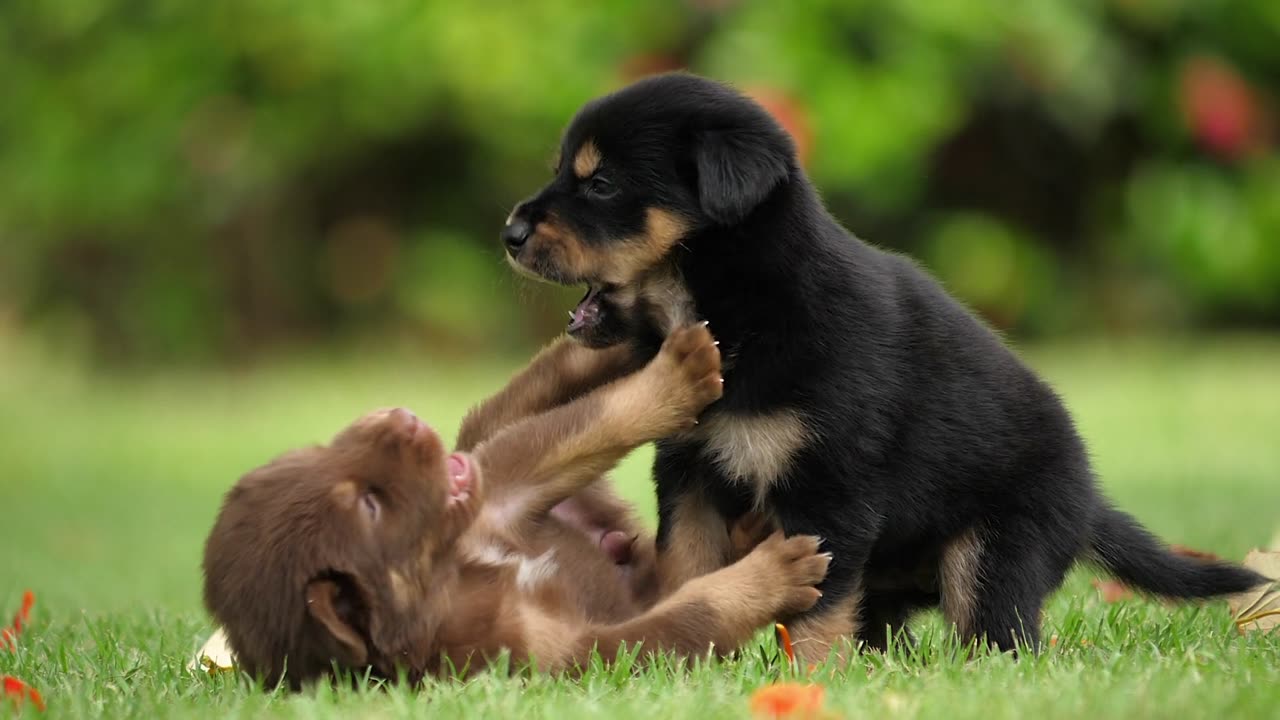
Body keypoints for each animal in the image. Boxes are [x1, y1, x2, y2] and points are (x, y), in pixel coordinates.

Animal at [202, 325, 829, 681]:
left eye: (323, 450)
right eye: (369, 507)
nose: (401, 418)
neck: (457, 572)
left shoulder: (499, 498)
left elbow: (590, 421)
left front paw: (668, 371)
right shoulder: (557, 653)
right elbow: (687, 616)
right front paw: (778, 573)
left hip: (485, 445)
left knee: (509, 409)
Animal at [501, 70, 1269, 661]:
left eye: (600, 185)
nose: (508, 233)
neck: (740, 312)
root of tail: (1088, 499)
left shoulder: (829, 491)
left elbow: (814, 614)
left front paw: (807, 678)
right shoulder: (691, 474)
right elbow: (686, 569)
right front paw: (693, 659)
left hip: (995, 552)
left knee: (997, 637)